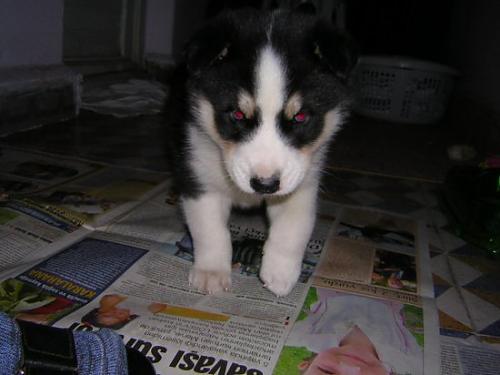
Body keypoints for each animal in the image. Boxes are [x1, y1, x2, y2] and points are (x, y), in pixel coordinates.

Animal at [168, 9, 356, 296]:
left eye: (301, 116)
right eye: (237, 114)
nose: (265, 185)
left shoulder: (302, 179)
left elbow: (294, 225)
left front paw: (280, 273)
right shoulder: (197, 175)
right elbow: (210, 229)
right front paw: (212, 273)